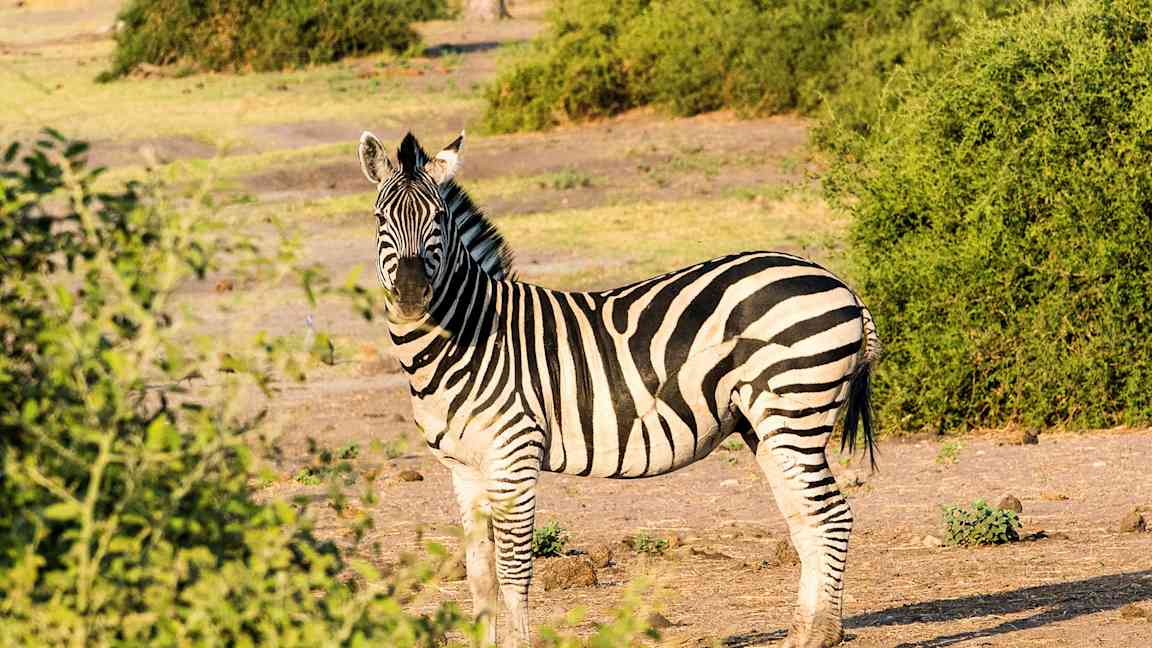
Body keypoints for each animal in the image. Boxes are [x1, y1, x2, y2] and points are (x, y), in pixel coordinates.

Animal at [357, 130, 880, 648]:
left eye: (439, 219)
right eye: (380, 218)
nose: (411, 296)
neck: (469, 333)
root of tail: (839, 283)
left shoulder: (515, 456)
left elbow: (513, 571)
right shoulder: (463, 470)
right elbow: (479, 574)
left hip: (796, 406)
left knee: (832, 515)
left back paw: (821, 635)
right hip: (764, 423)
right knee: (805, 518)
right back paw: (802, 633)